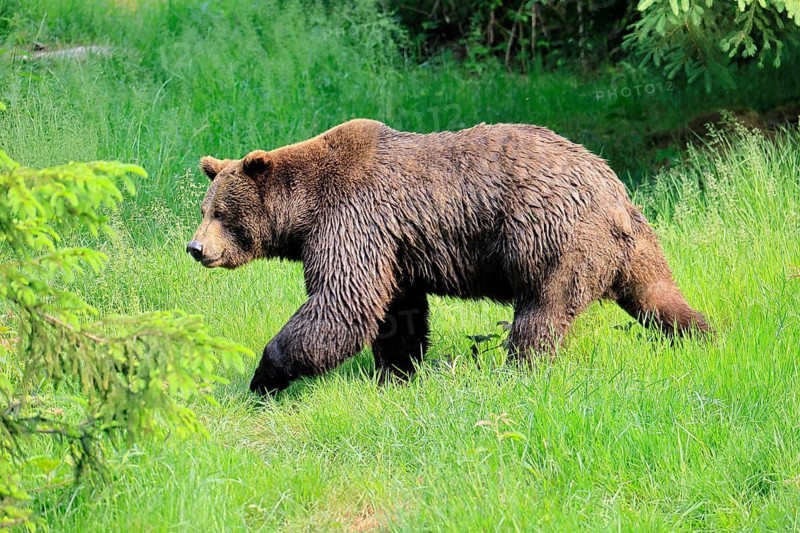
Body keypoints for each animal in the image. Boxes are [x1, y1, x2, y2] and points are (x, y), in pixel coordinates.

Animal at [187, 119, 710, 395]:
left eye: (223, 212)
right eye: (204, 208)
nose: (195, 248)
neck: (305, 213)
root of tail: (614, 190)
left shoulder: (353, 222)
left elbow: (340, 305)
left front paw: (262, 377)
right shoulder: (394, 249)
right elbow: (396, 313)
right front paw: (397, 375)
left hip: (552, 239)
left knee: (540, 315)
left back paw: (516, 373)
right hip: (631, 246)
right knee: (657, 295)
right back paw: (702, 336)